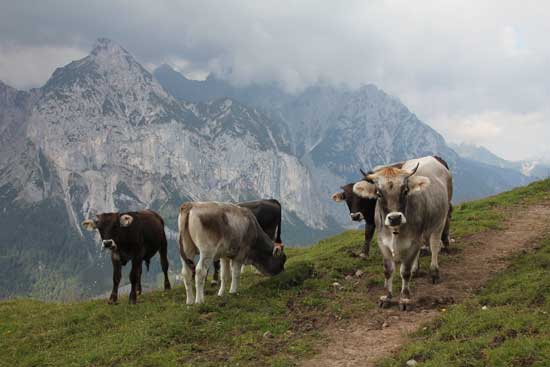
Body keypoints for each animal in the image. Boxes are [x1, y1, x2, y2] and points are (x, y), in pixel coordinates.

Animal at [356, 155, 454, 310]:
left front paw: (405, 298)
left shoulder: (414, 240)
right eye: (378, 193)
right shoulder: (382, 242)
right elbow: (388, 270)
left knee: (434, 246)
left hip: (440, 220)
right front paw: (387, 297)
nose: (395, 217)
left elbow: (405, 271)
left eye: (405, 190)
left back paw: (434, 272)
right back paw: (416, 270)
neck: (395, 231)